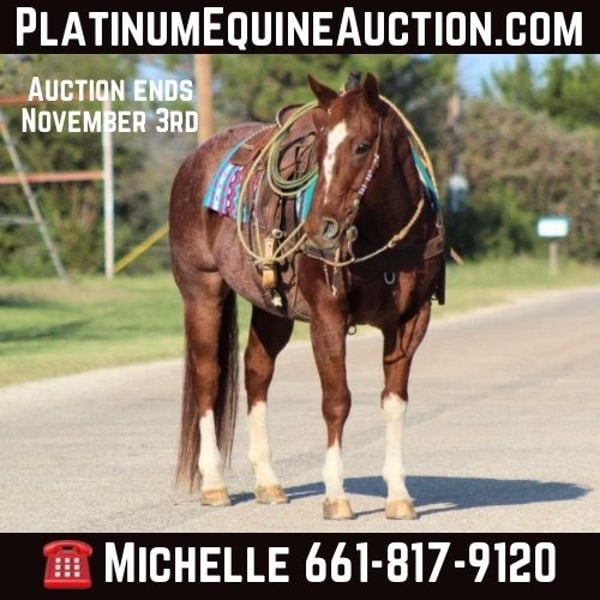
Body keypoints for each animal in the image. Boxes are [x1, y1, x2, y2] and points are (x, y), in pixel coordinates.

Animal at [168, 72, 446, 520]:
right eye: (318, 147)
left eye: (362, 146)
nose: (319, 228)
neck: (381, 236)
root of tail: (193, 162)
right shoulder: (327, 318)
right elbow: (336, 401)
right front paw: (336, 496)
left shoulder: (410, 323)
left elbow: (394, 402)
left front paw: (399, 496)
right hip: (201, 291)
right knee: (208, 376)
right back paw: (213, 484)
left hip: (272, 309)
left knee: (256, 371)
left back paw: (268, 482)